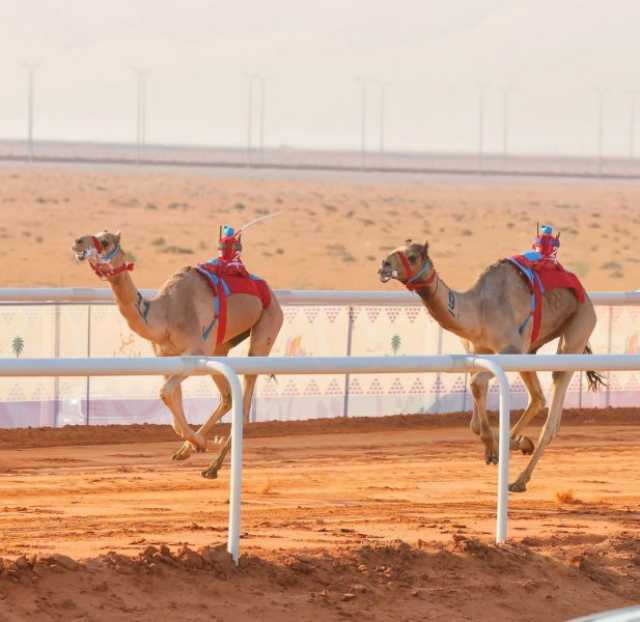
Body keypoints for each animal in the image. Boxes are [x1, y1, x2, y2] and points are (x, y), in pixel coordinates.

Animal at [71, 229, 282, 478]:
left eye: (104, 241)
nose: (77, 242)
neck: (164, 314)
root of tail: (270, 293)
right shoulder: (166, 357)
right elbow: (172, 402)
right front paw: (191, 445)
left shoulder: (195, 352)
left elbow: (164, 393)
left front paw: (202, 443)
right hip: (219, 349)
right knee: (228, 397)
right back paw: (201, 456)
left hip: (267, 327)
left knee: (245, 401)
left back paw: (213, 466)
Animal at [380, 236, 604, 494]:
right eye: (393, 249)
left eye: (413, 256)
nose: (384, 265)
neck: (479, 312)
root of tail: (587, 296)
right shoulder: (479, 351)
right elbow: (474, 416)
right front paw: (503, 445)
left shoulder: (510, 350)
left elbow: (476, 384)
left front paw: (493, 451)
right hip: (531, 349)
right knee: (537, 397)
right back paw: (517, 443)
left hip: (578, 329)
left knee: (552, 413)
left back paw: (519, 479)